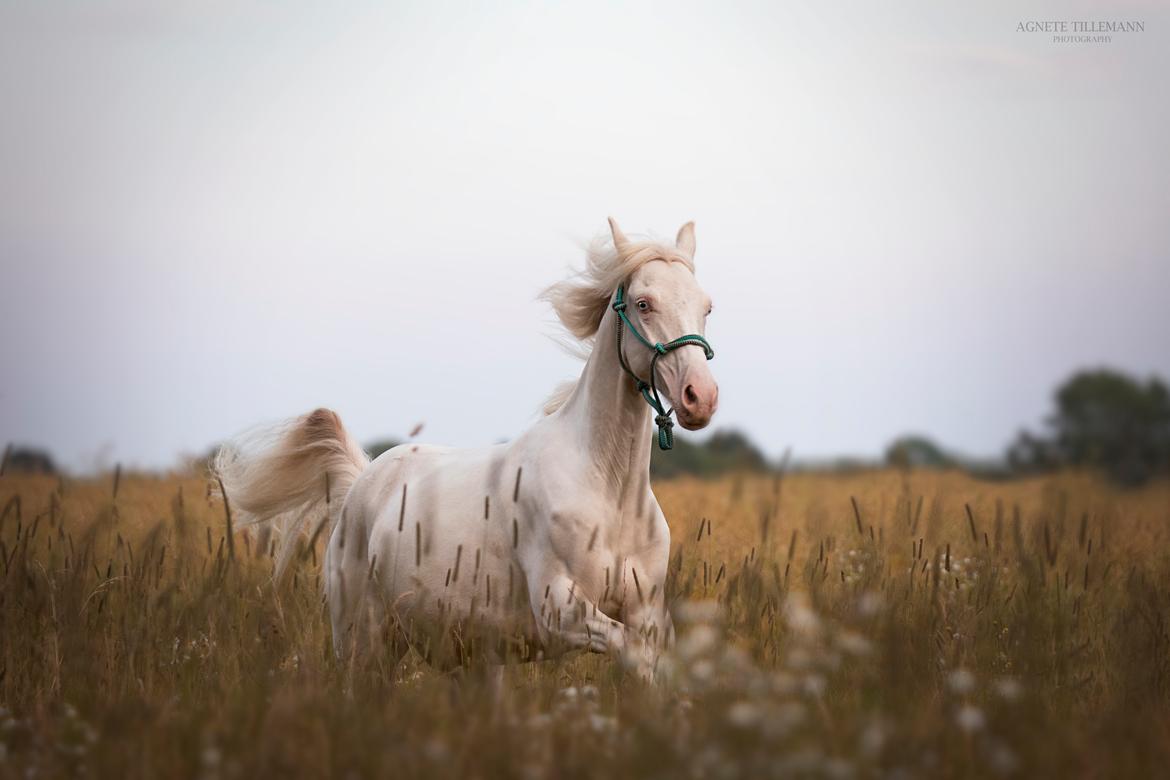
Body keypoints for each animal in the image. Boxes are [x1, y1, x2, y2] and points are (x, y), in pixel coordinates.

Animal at [215, 218, 716, 678]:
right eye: (643, 303)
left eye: (706, 306)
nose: (700, 397)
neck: (609, 493)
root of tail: (361, 482)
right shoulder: (561, 610)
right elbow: (633, 650)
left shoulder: (646, 612)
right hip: (363, 643)